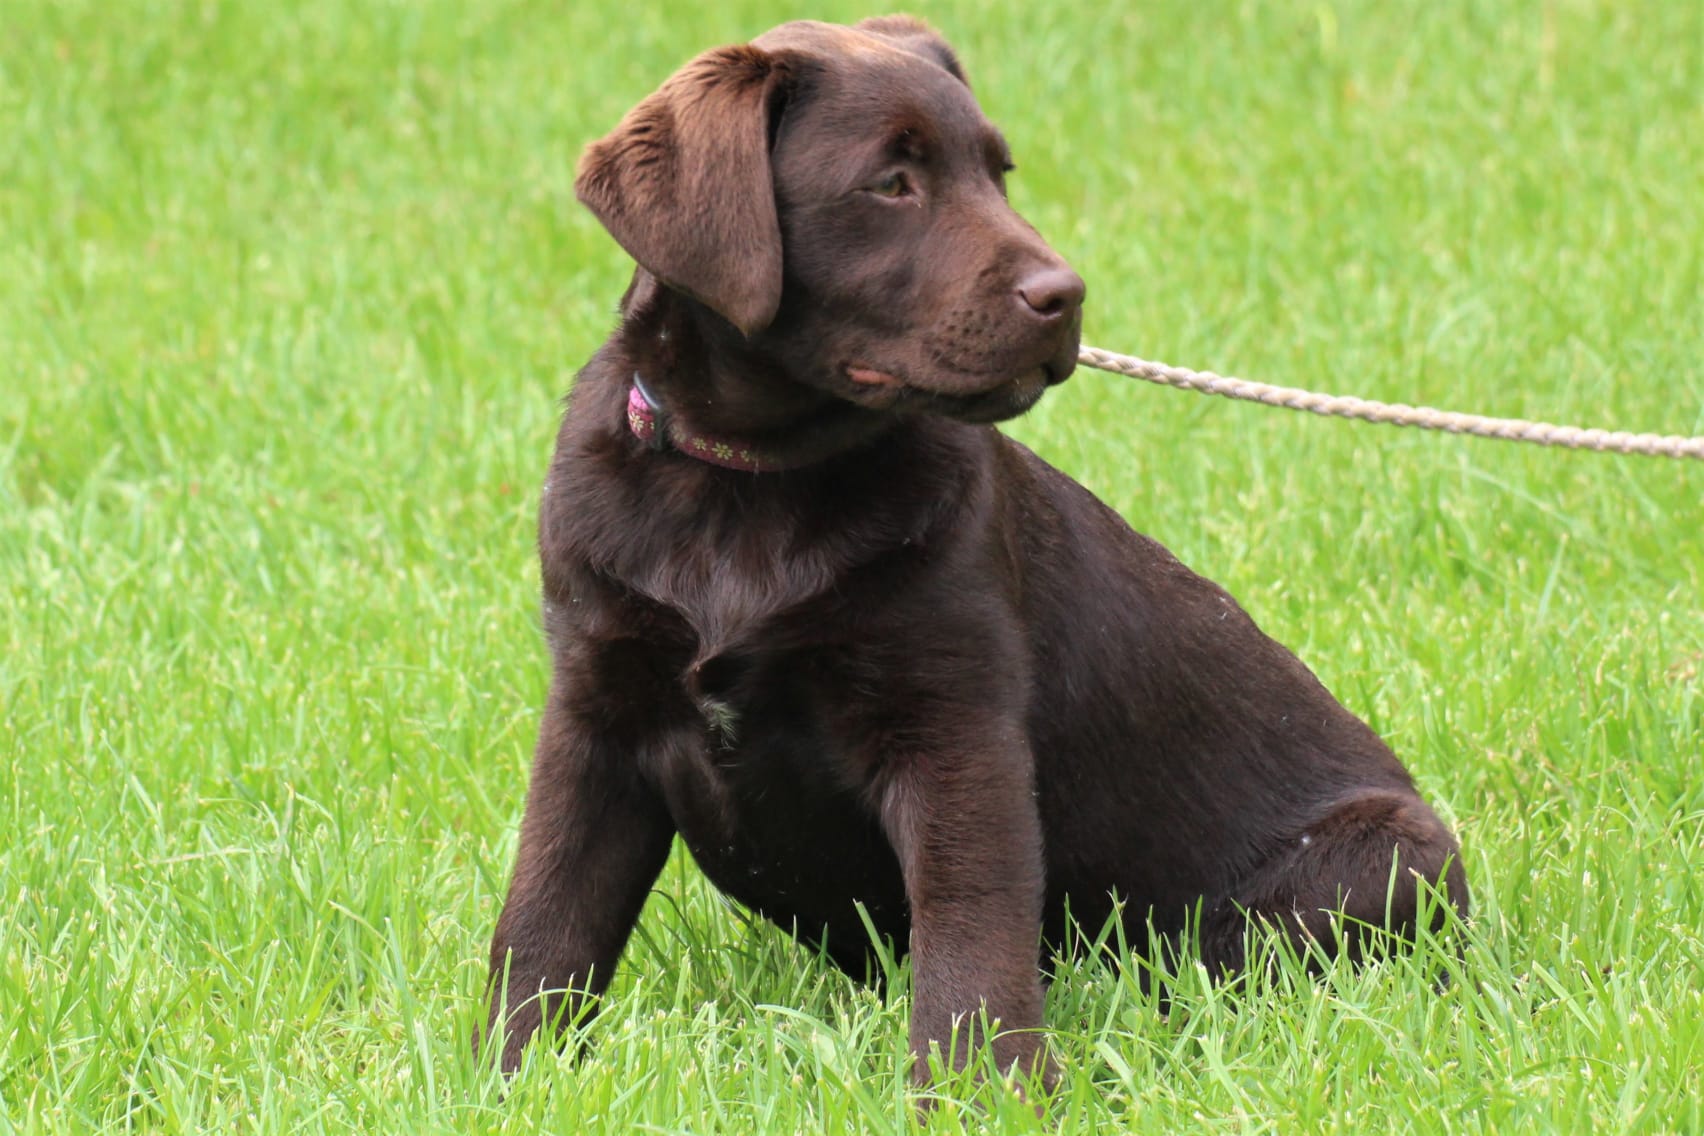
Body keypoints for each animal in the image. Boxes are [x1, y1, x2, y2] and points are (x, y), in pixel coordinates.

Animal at [480, 11, 1465, 1090]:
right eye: (890, 183)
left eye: (1000, 173)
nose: (1066, 294)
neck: (748, 483)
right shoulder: (594, 711)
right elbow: (547, 914)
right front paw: (508, 1074)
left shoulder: (954, 727)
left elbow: (969, 926)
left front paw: (976, 1087)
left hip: (1383, 855)